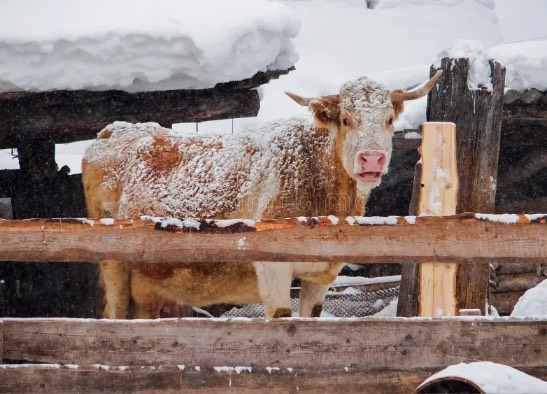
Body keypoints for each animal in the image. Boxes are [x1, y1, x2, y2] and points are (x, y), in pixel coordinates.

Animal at [82, 71, 440, 318]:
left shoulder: (320, 277)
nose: (371, 159)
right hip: (113, 266)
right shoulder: (272, 267)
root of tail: (112, 130)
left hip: (148, 284)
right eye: (346, 119)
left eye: (389, 119)